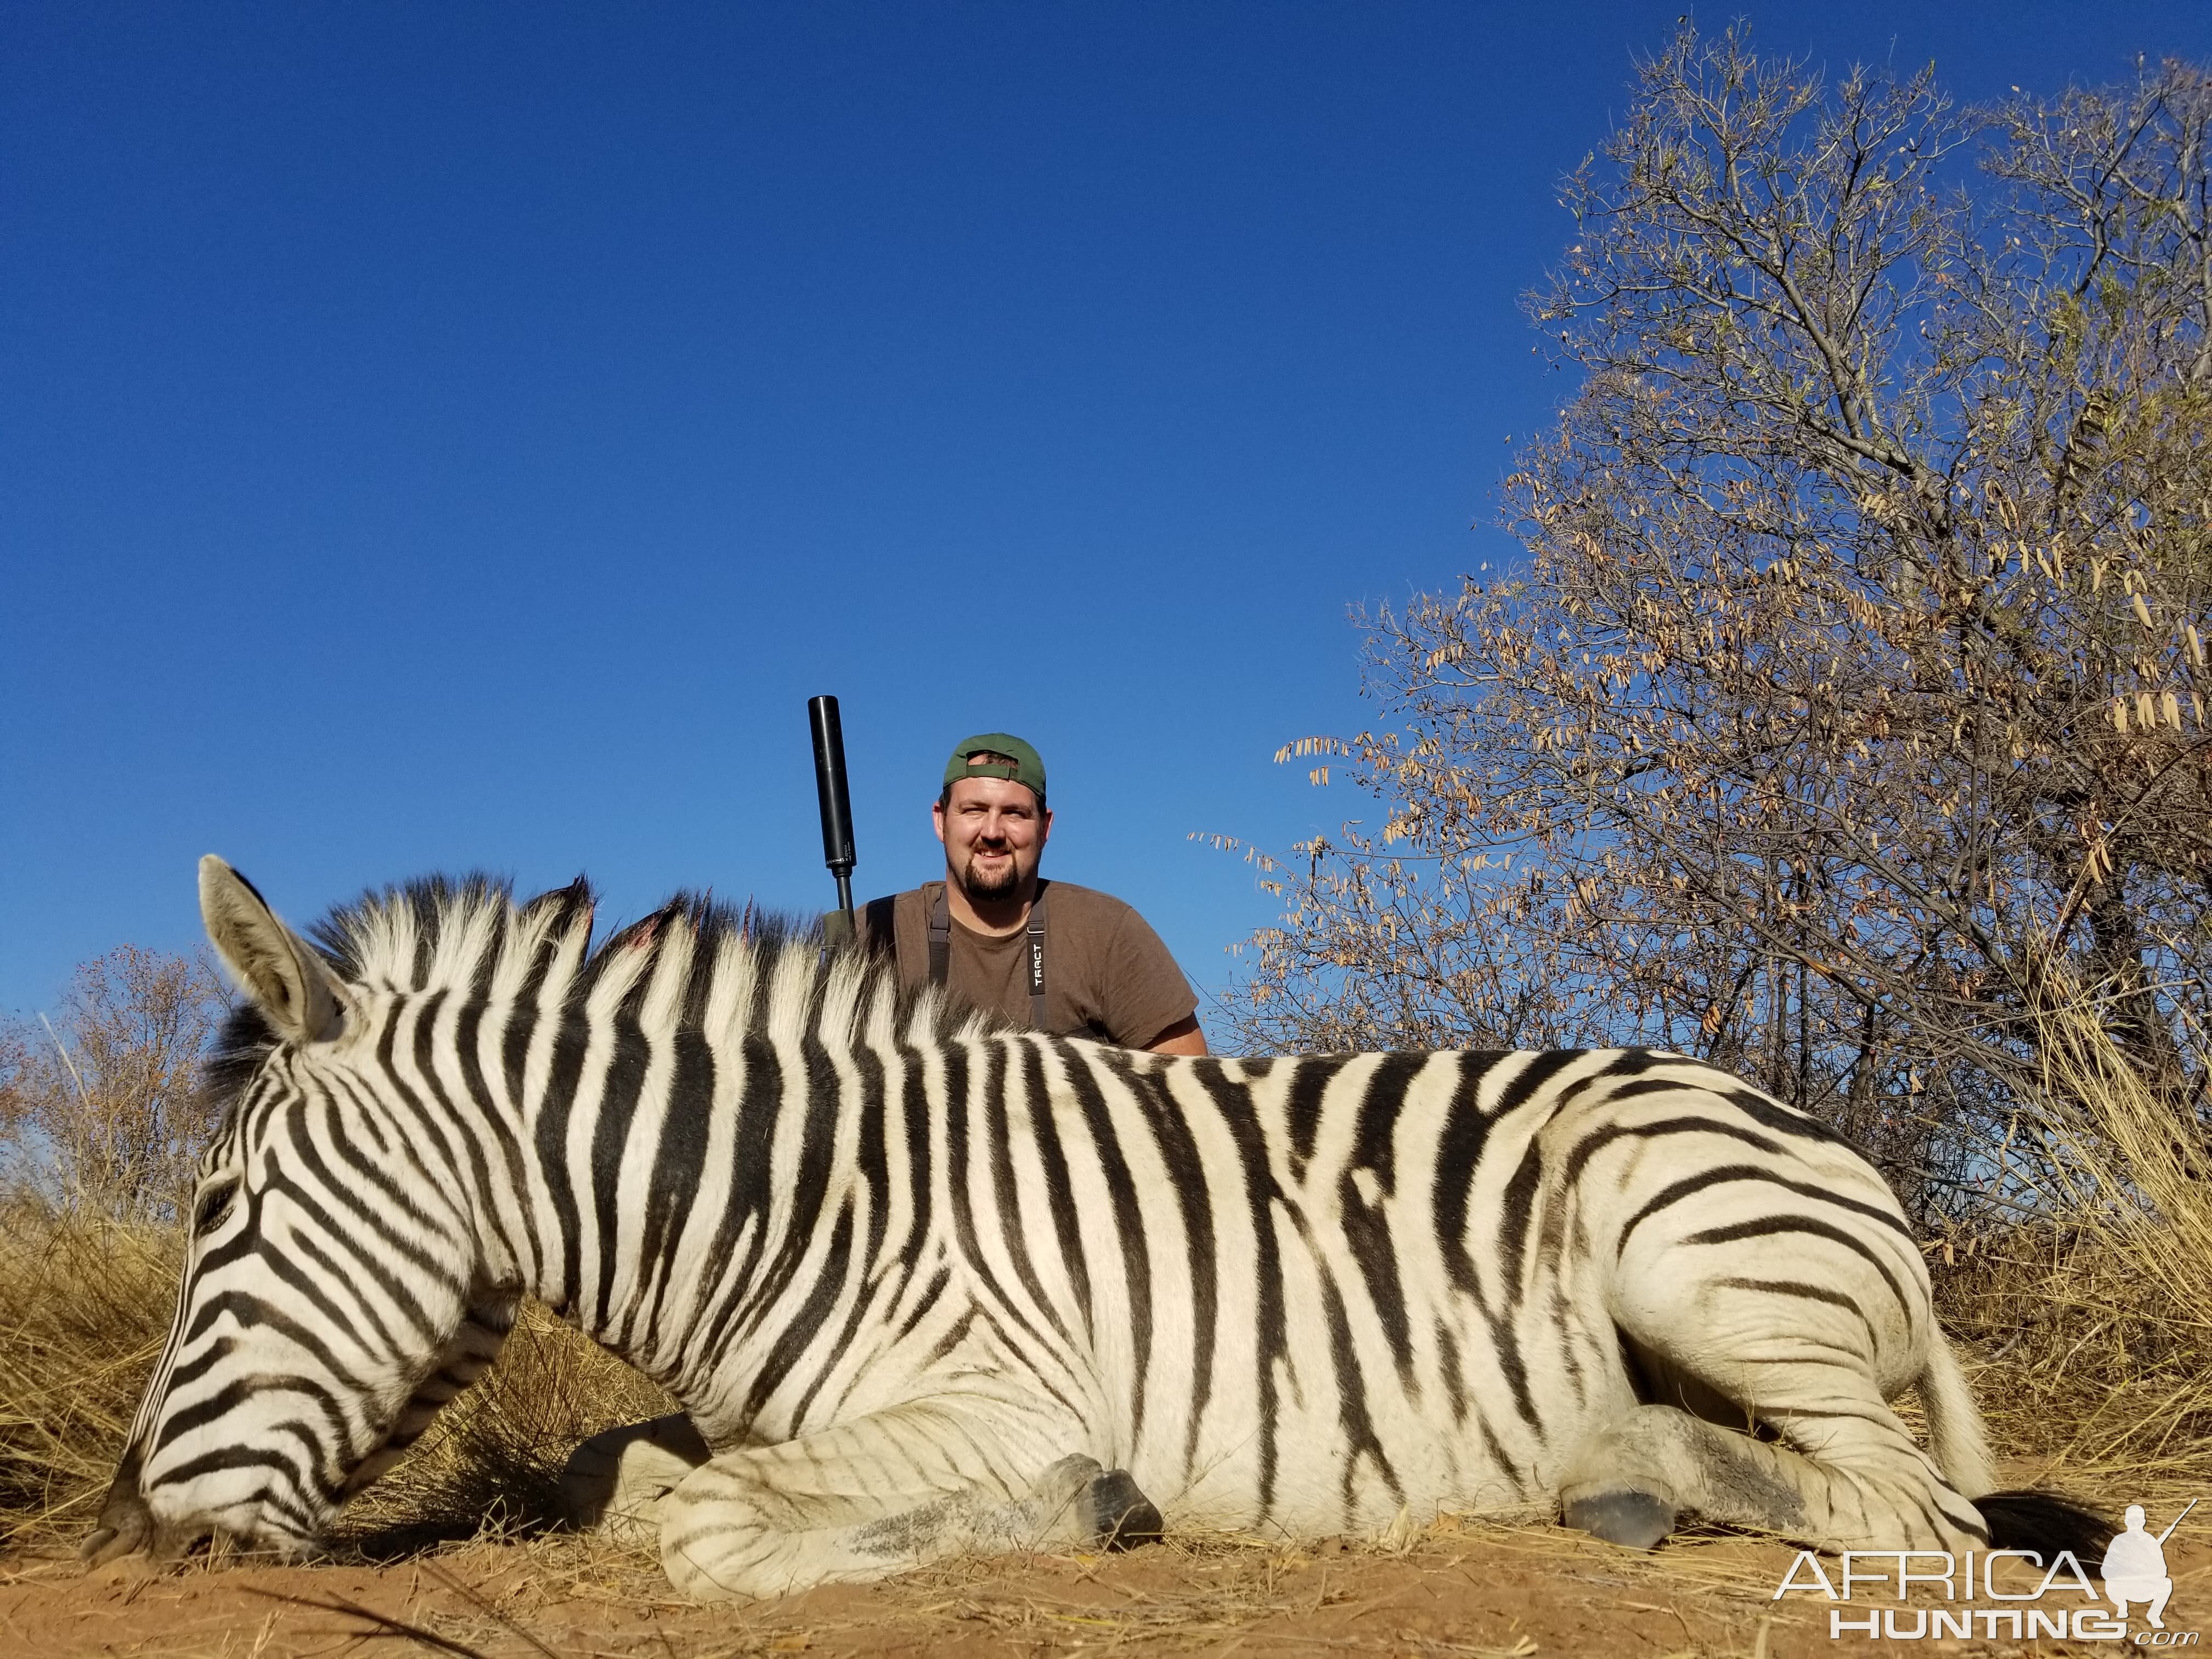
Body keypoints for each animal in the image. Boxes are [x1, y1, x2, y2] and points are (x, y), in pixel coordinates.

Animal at [82, 858, 2088, 1601]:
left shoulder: (1003, 1395)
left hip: (1690, 1258)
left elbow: (710, 1530)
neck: (790, 1205)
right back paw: (1615, 1484)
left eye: (211, 1207)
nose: (124, 1525)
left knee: (1912, 1514)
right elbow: (633, 1477)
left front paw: (1090, 1508)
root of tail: (1813, 1139)